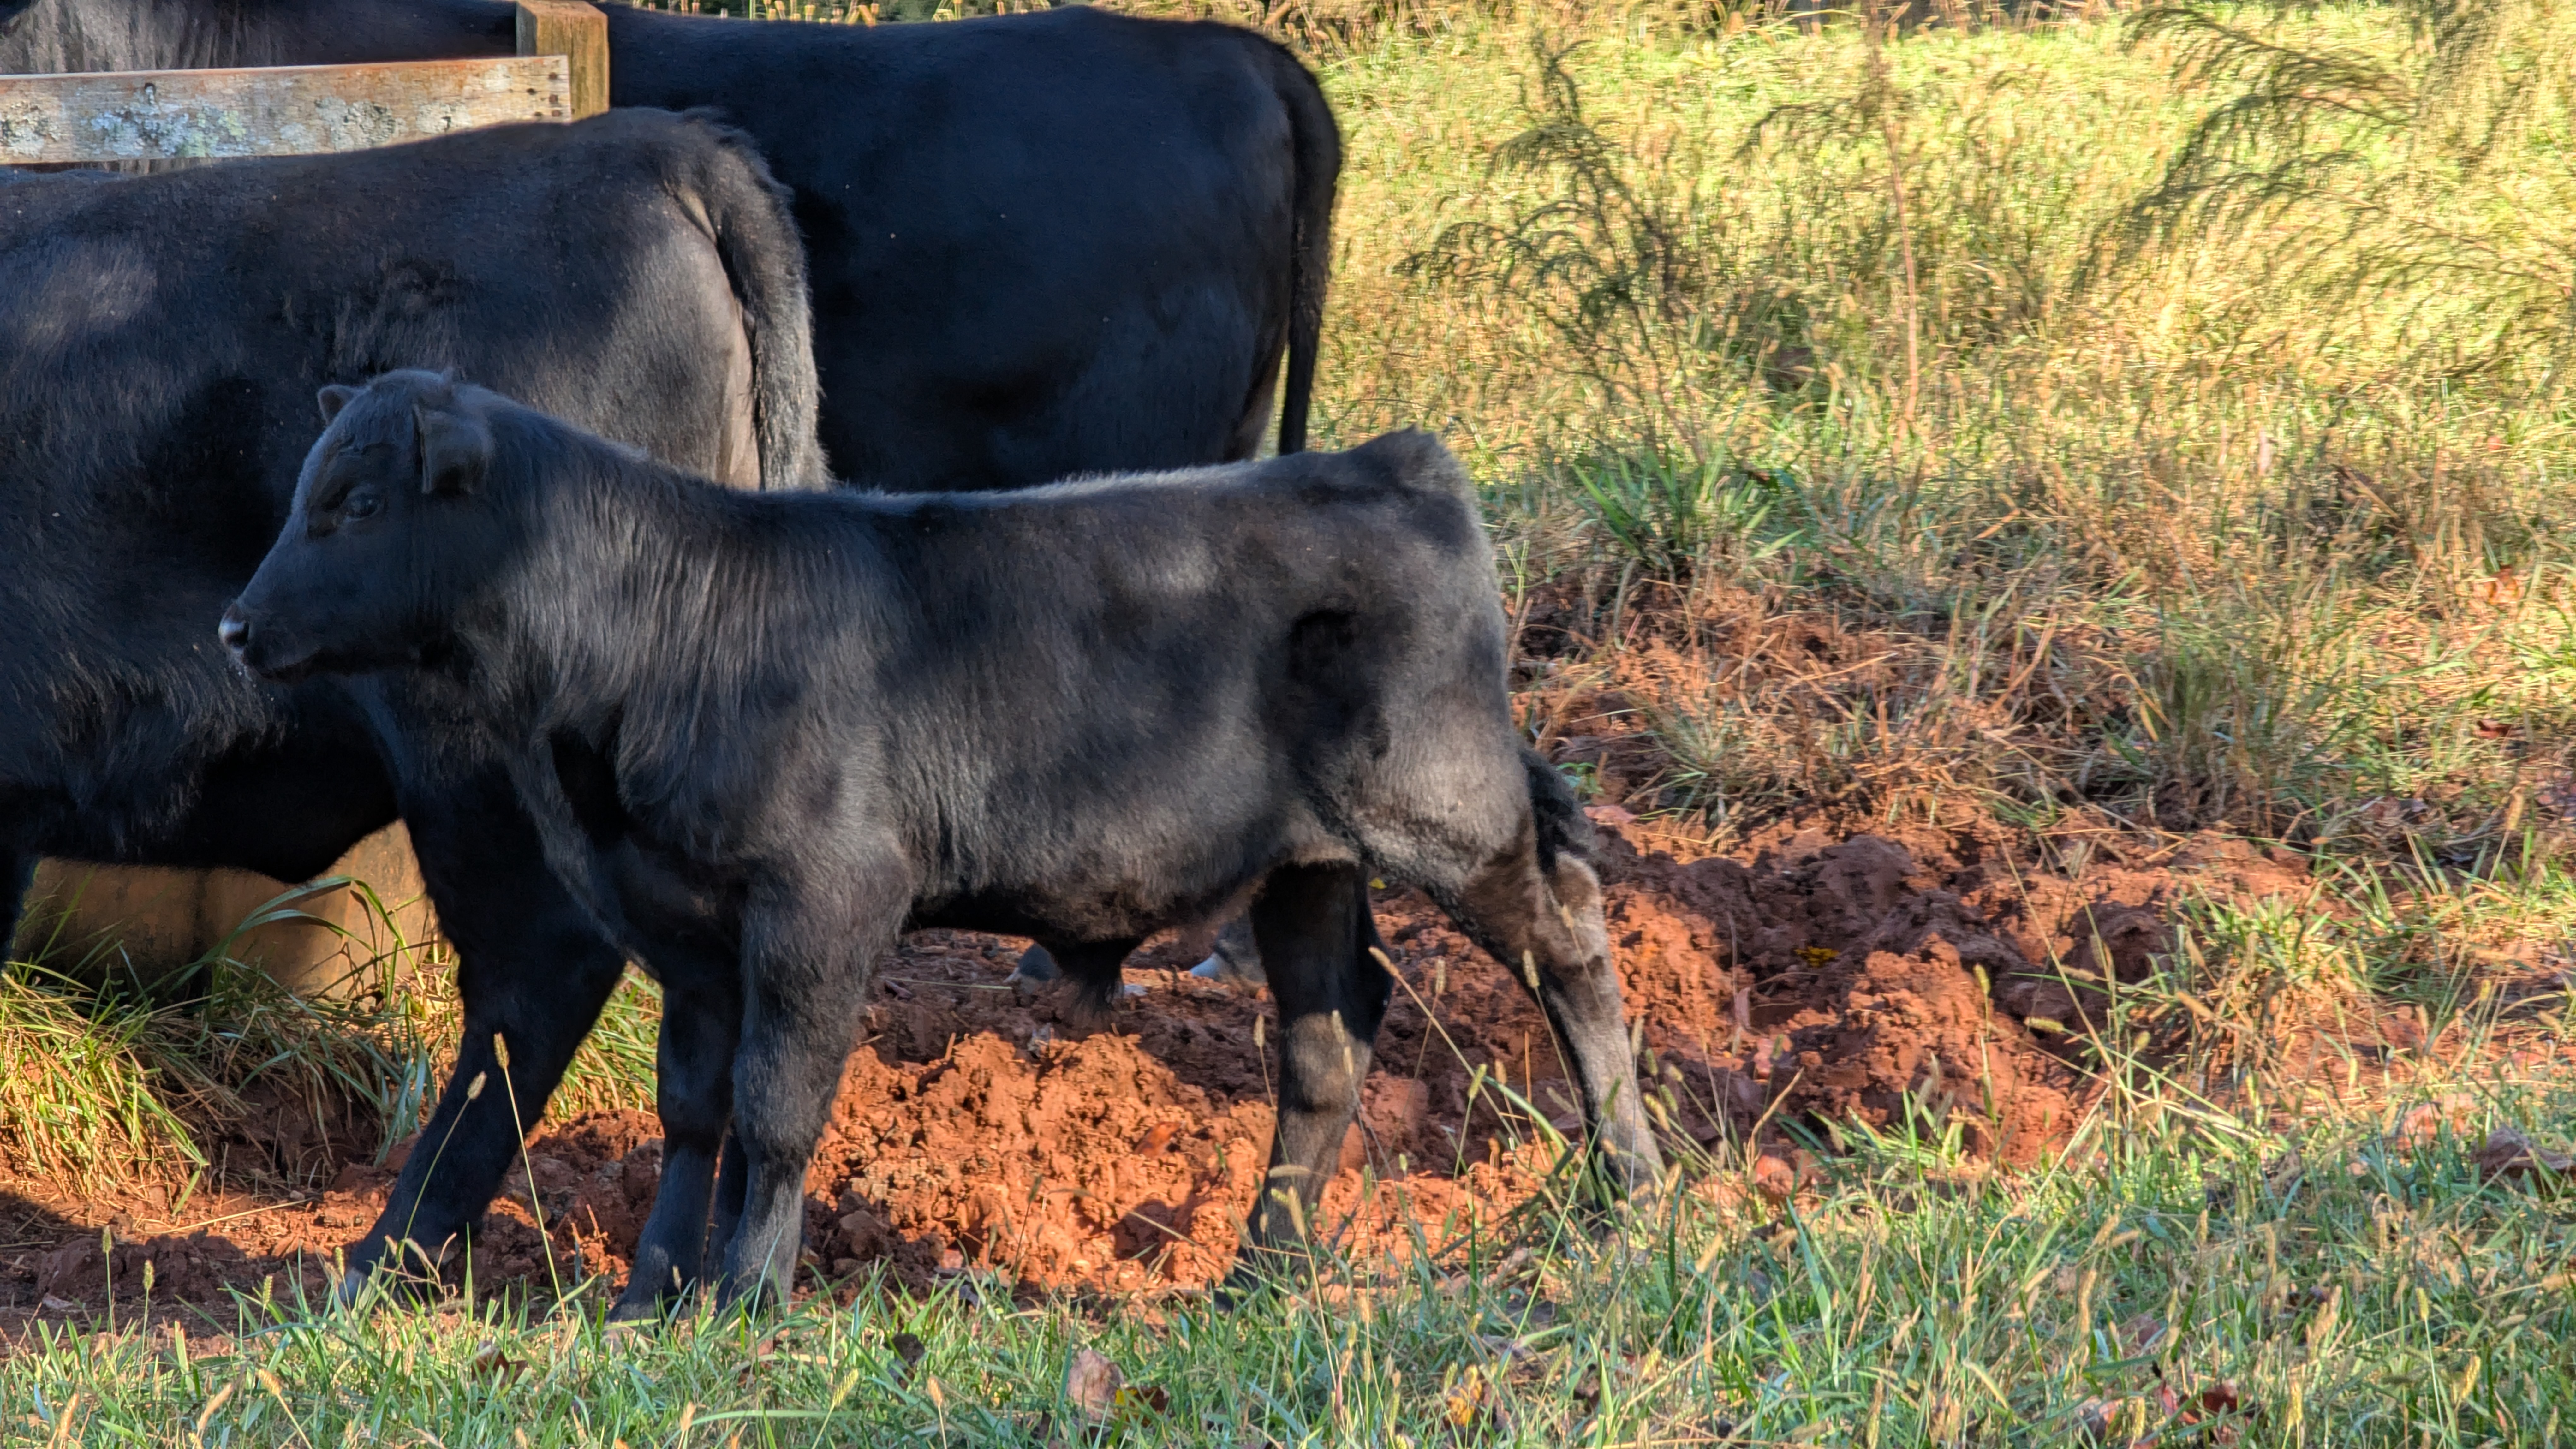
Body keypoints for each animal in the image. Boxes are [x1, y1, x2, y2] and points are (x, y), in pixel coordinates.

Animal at [222, 371, 1666, 1316]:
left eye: (355, 501)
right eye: (302, 490)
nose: (236, 626)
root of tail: (1380, 461)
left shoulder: (826, 898)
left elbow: (777, 1106)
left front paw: (748, 1299)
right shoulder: (677, 923)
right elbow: (693, 1109)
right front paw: (651, 1295)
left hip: (1451, 810)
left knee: (1571, 947)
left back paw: (1631, 1191)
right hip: (1307, 865)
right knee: (1328, 1037)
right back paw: (1264, 1270)